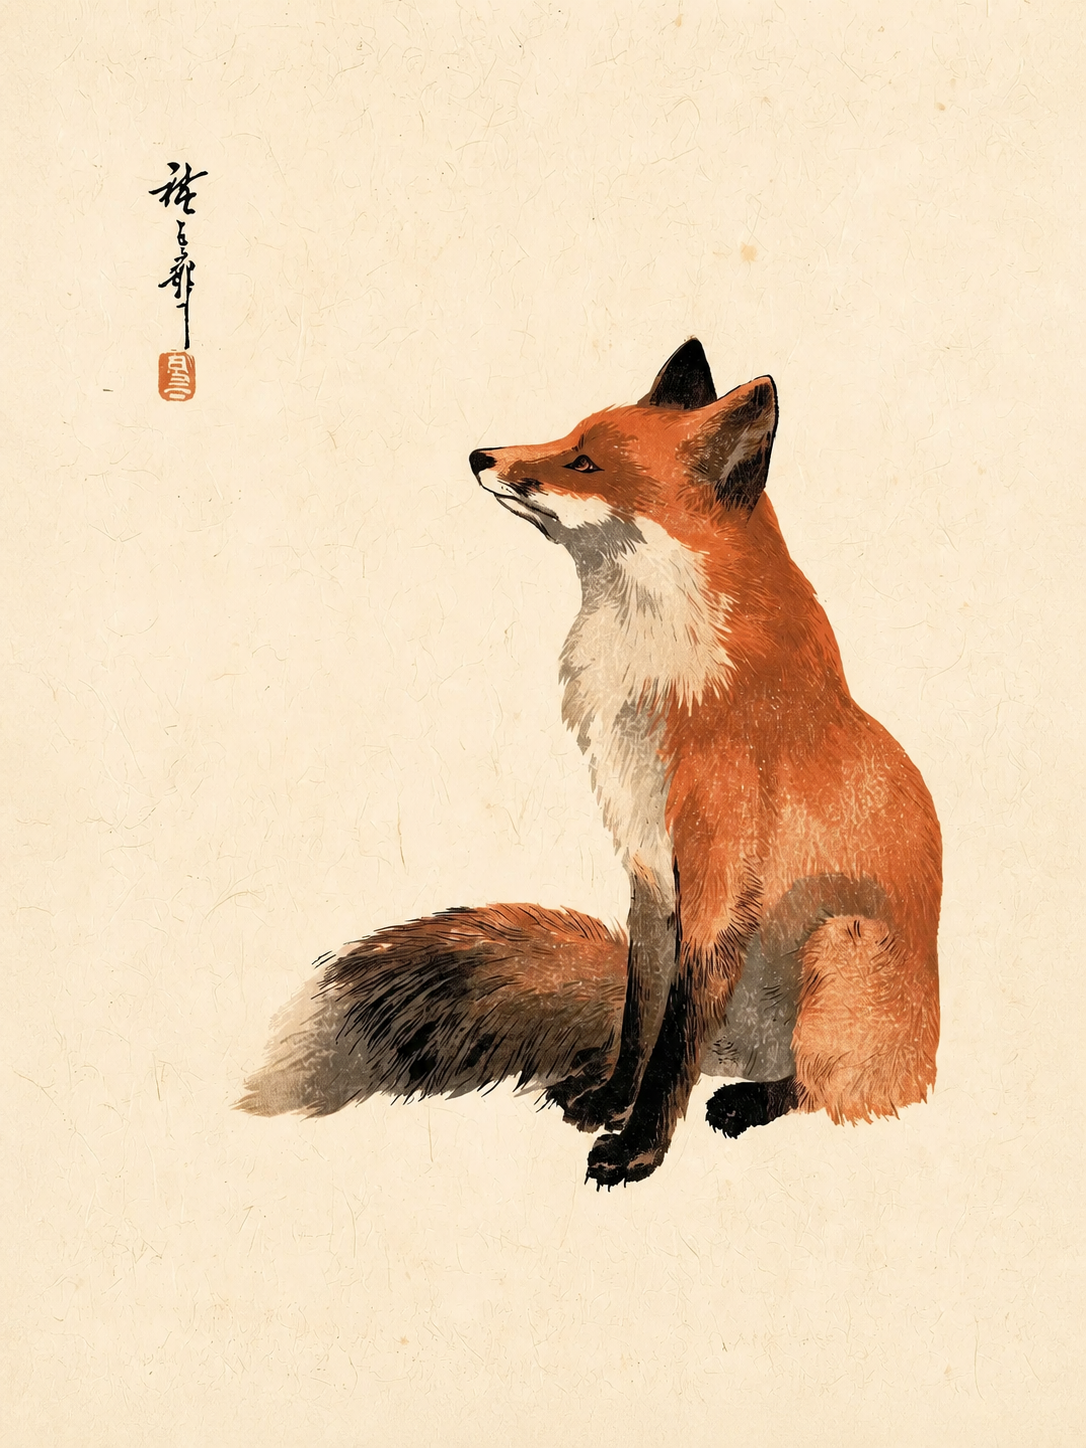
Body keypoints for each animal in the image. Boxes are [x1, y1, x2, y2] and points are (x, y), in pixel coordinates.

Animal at [240, 339, 941, 1188]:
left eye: (583, 462)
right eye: (567, 438)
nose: (480, 455)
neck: (660, 679)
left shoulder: (716, 892)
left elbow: (673, 1049)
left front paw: (637, 1150)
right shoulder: (650, 876)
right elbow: (642, 1018)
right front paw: (610, 1098)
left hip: (838, 945)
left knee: (829, 1087)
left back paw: (752, 1101)